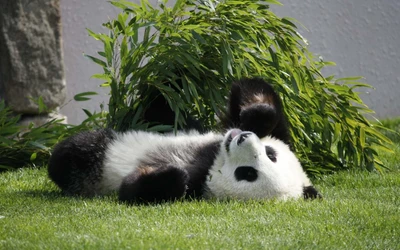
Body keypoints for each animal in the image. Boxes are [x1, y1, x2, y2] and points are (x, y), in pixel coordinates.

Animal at [47, 77, 322, 203]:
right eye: (270, 152)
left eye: (248, 174)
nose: (242, 138)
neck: (214, 160)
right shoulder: (278, 132)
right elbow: (258, 92)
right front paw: (257, 115)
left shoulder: (199, 188)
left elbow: (136, 191)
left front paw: (169, 173)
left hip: (95, 165)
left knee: (77, 153)